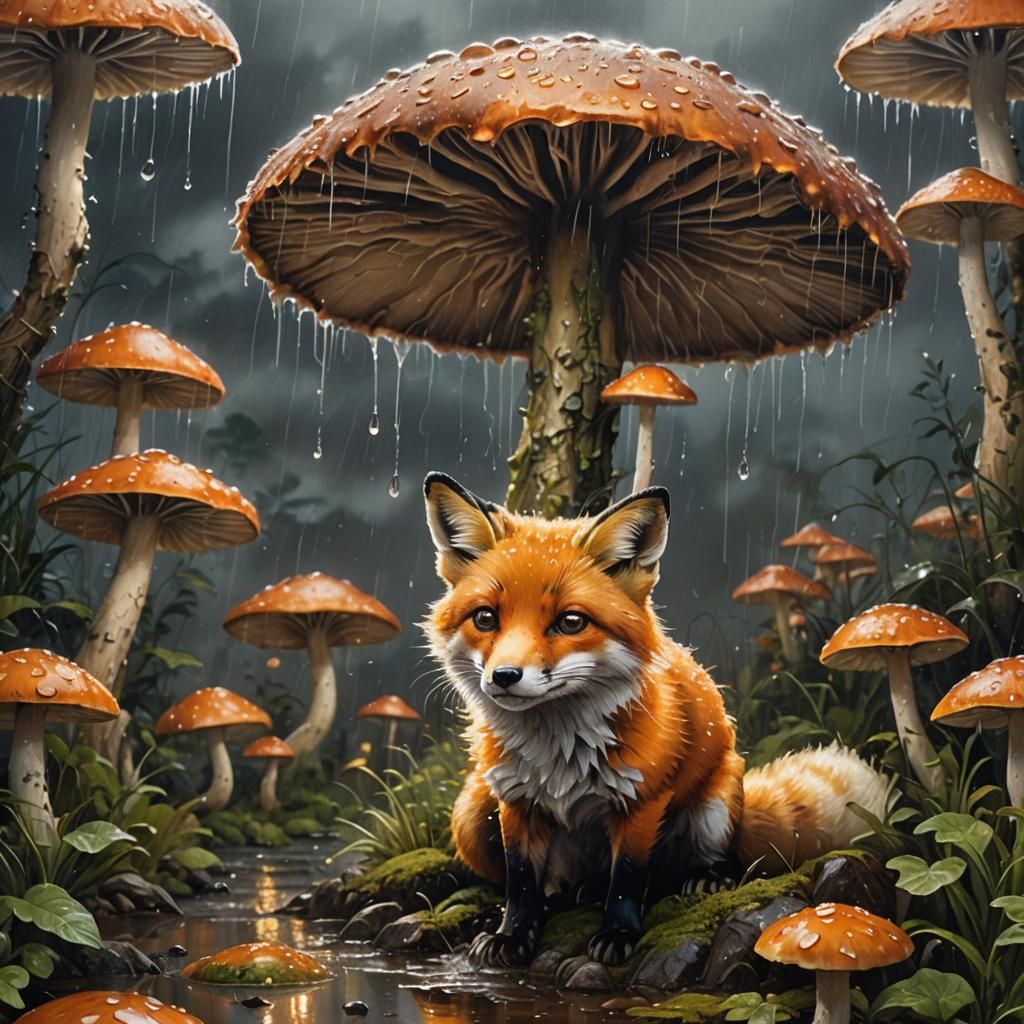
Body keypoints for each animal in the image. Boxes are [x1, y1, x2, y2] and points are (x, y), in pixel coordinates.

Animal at [423, 472, 887, 968]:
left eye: (571, 622)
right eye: (485, 618)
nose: (505, 677)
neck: (558, 752)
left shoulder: (642, 799)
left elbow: (628, 878)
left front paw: (618, 935)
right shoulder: (514, 802)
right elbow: (522, 882)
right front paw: (512, 936)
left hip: (714, 808)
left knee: (696, 866)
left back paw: (705, 876)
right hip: (472, 816)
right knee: (561, 884)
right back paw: (573, 893)